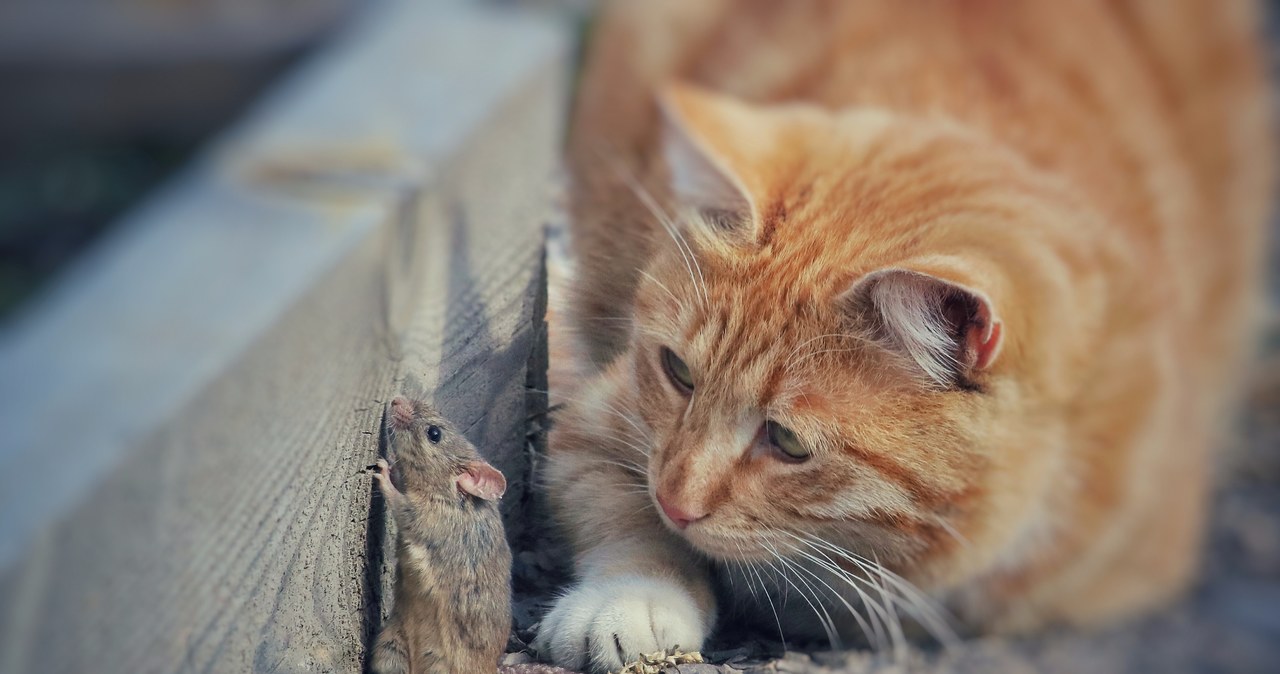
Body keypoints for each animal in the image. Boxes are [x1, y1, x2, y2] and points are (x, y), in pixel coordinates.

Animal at [532, 2, 1269, 670]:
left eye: (788, 442)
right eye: (677, 372)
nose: (675, 500)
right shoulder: (596, 419)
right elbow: (618, 509)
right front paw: (629, 597)